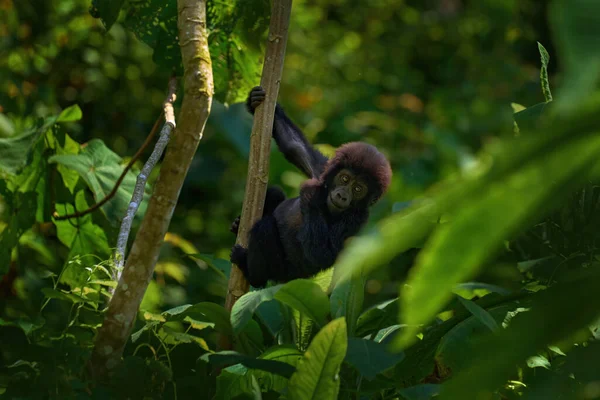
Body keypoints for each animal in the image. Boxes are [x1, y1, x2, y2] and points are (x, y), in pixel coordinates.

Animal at [227, 87, 392, 288]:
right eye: (344, 179)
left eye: (358, 189)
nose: (342, 195)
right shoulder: (322, 170)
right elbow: (295, 147)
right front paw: (256, 100)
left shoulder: (357, 219)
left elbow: (321, 254)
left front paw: (311, 196)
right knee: (275, 193)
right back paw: (238, 224)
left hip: (282, 273)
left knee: (263, 228)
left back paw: (251, 273)